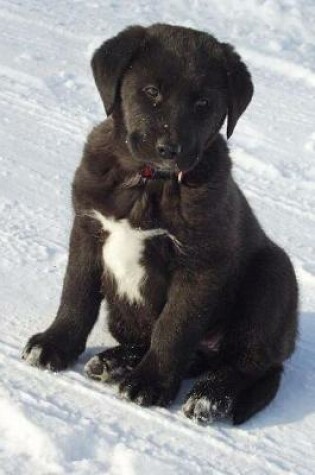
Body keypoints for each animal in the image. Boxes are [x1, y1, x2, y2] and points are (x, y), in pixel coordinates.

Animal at [22, 24, 298, 426]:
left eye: (203, 104)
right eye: (151, 92)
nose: (170, 148)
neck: (149, 182)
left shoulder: (200, 263)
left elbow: (173, 327)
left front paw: (150, 384)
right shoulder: (87, 230)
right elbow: (76, 294)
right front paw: (55, 344)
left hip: (273, 277)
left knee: (248, 363)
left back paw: (208, 396)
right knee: (182, 351)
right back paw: (114, 362)